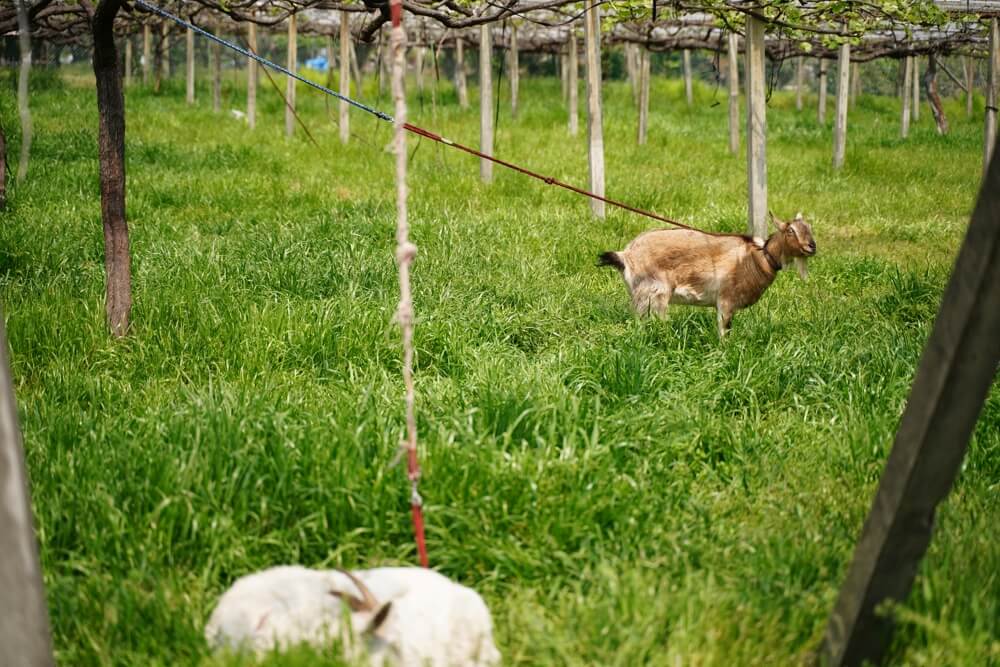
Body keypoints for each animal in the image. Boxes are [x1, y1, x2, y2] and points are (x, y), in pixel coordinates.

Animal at [596, 211, 816, 336]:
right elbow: (724, 331)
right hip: (654, 292)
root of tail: (626, 255)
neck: (757, 258)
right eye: (790, 231)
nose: (812, 247)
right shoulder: (726, 300)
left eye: (809, 228)